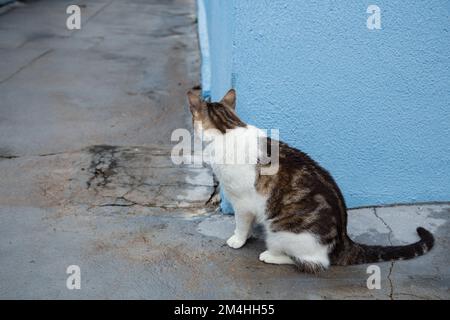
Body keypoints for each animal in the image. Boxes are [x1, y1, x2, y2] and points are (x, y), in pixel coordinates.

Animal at [185, 88, 432, 272]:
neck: (227, 127)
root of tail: (343, 241)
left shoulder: (242, 203)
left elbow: (241, 224)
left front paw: (237, 239)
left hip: (281, 232)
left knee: (314, 262)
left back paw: (271, 255)